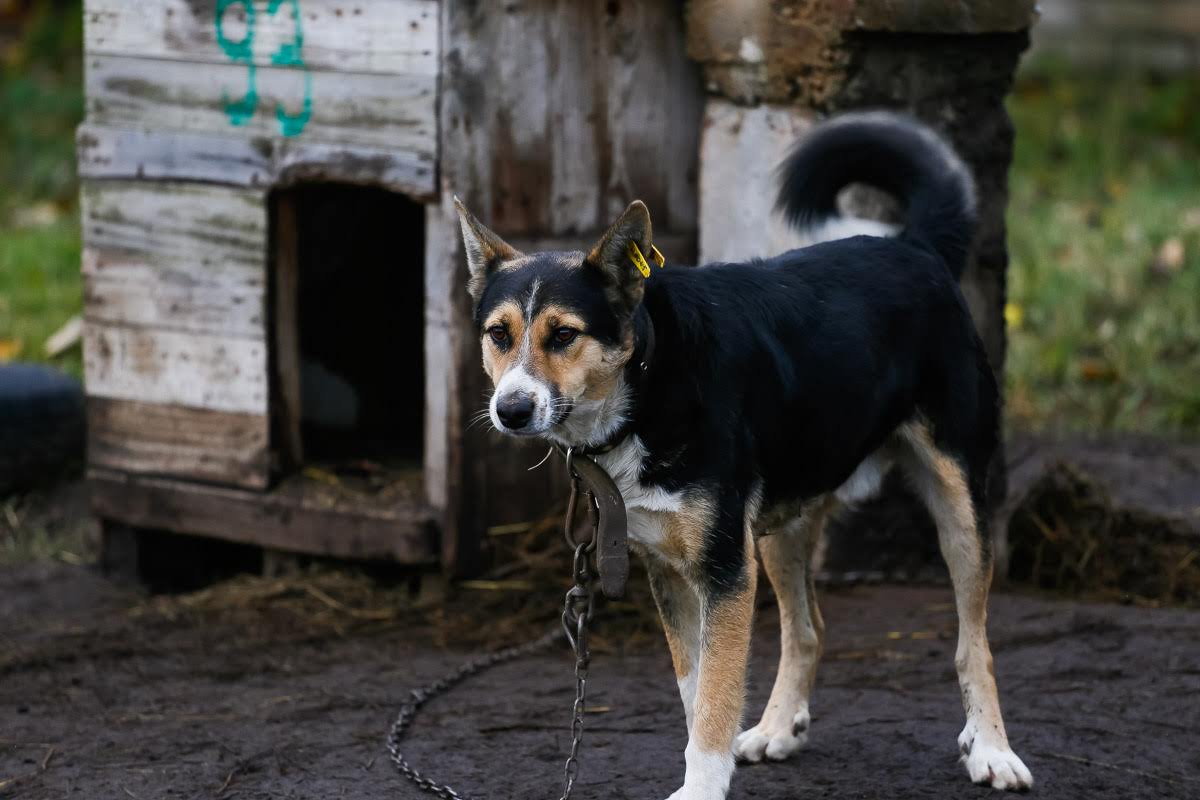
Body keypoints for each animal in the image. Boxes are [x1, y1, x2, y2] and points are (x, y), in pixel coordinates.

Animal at [453, 113, 1036, 800]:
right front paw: (715, 761)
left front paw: (702, 785)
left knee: (975, 641)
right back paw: (780, 727)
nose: (511, 410)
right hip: (783, 521)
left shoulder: (724, 569)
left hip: (958, 506)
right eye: (499, 334)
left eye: (564, 335)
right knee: (807, 629)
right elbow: (698, 689)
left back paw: (992, 749)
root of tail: (915, 248)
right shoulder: (672, 570)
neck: (648, 384)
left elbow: (715, 693)